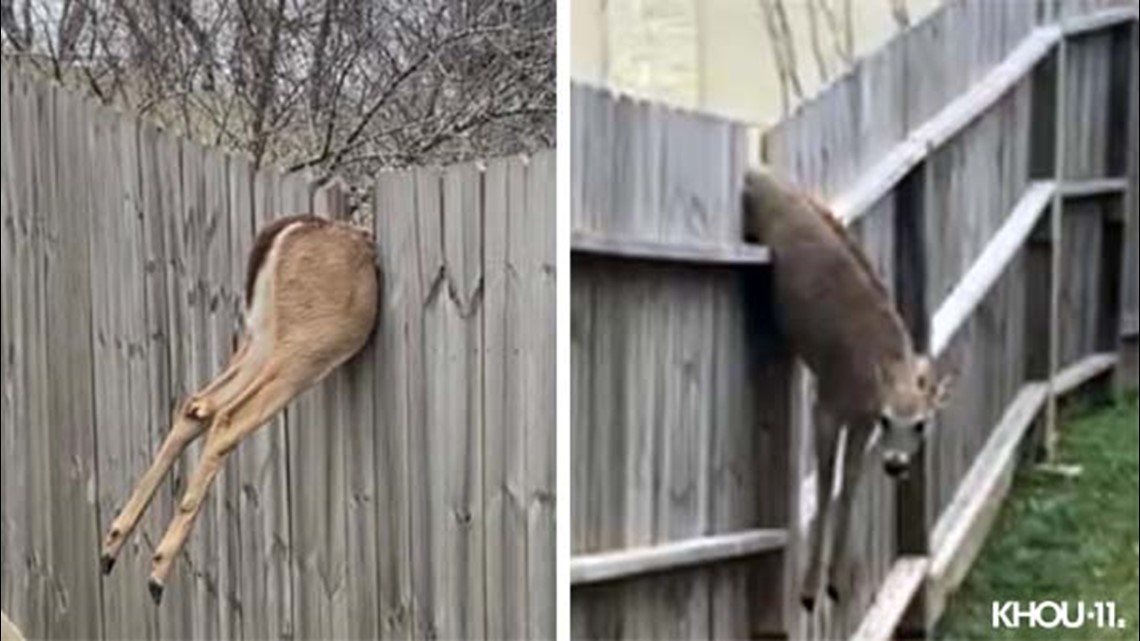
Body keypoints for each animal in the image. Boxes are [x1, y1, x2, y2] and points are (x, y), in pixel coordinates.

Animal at [98, 213, 378, 597]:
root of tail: (289, 230)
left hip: (262, 337)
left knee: (199, 404)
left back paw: (111, 548)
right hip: (308, 345)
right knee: (229, 416)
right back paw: (156, 572)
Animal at [743, 171, 948, 606]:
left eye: (921, 424)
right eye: (888, 419)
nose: (896, 464)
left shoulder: (860, 421)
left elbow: (850, 477)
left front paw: (836, 580)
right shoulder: (828, 402)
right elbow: (824, 481)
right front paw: (808, 590)